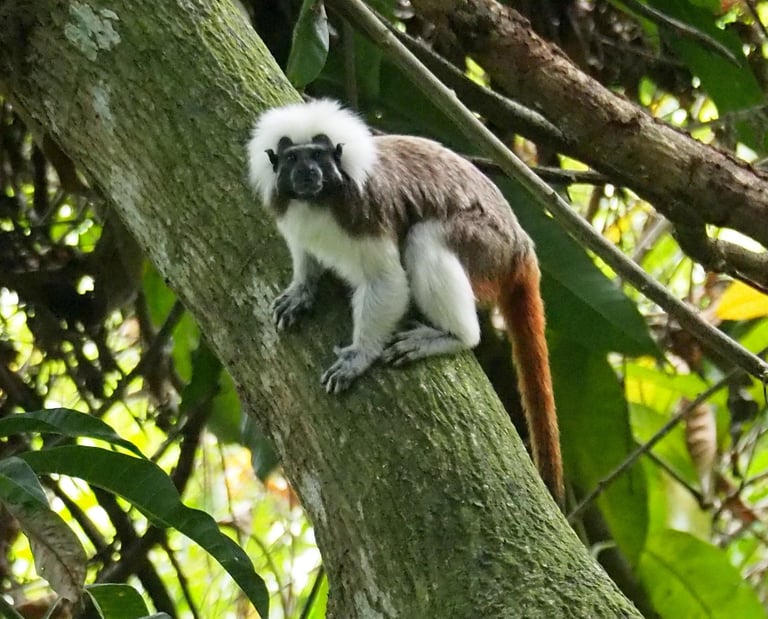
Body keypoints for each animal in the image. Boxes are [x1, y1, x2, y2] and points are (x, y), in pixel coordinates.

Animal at [247, 99, 563, 503]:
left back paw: (453, 337)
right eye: (292, 159)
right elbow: (304, 251)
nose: (307, 173)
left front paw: (359, 356)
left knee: (425, 236)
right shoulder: (291, 213)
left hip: (487, 247)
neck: (318, 202)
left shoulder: (366, 211)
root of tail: (521, 248)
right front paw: (302, 290)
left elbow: (389, 282)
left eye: (317, 156)